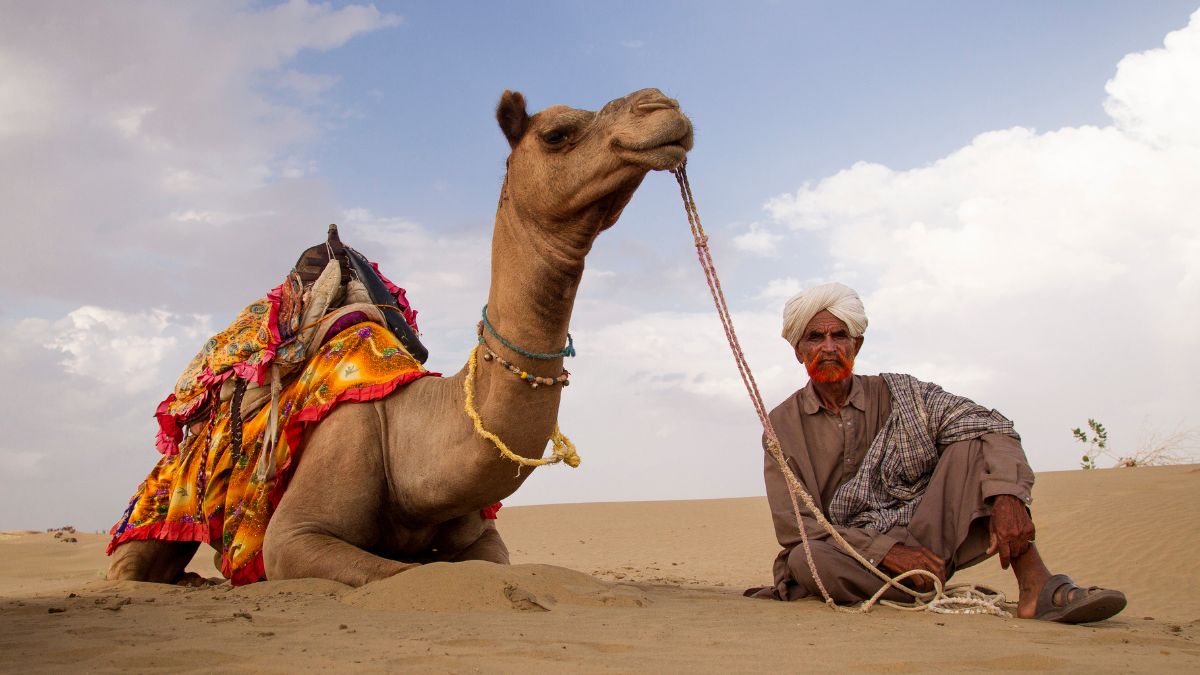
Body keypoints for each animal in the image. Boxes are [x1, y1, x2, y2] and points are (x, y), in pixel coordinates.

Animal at [107, 88, 694, 586]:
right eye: (556, 132)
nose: (662, 106)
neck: (411, 438)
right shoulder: (293, 535)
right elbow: (401, 573)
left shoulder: (483, 538)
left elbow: (481, 566)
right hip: (163, 496)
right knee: (133, 566)